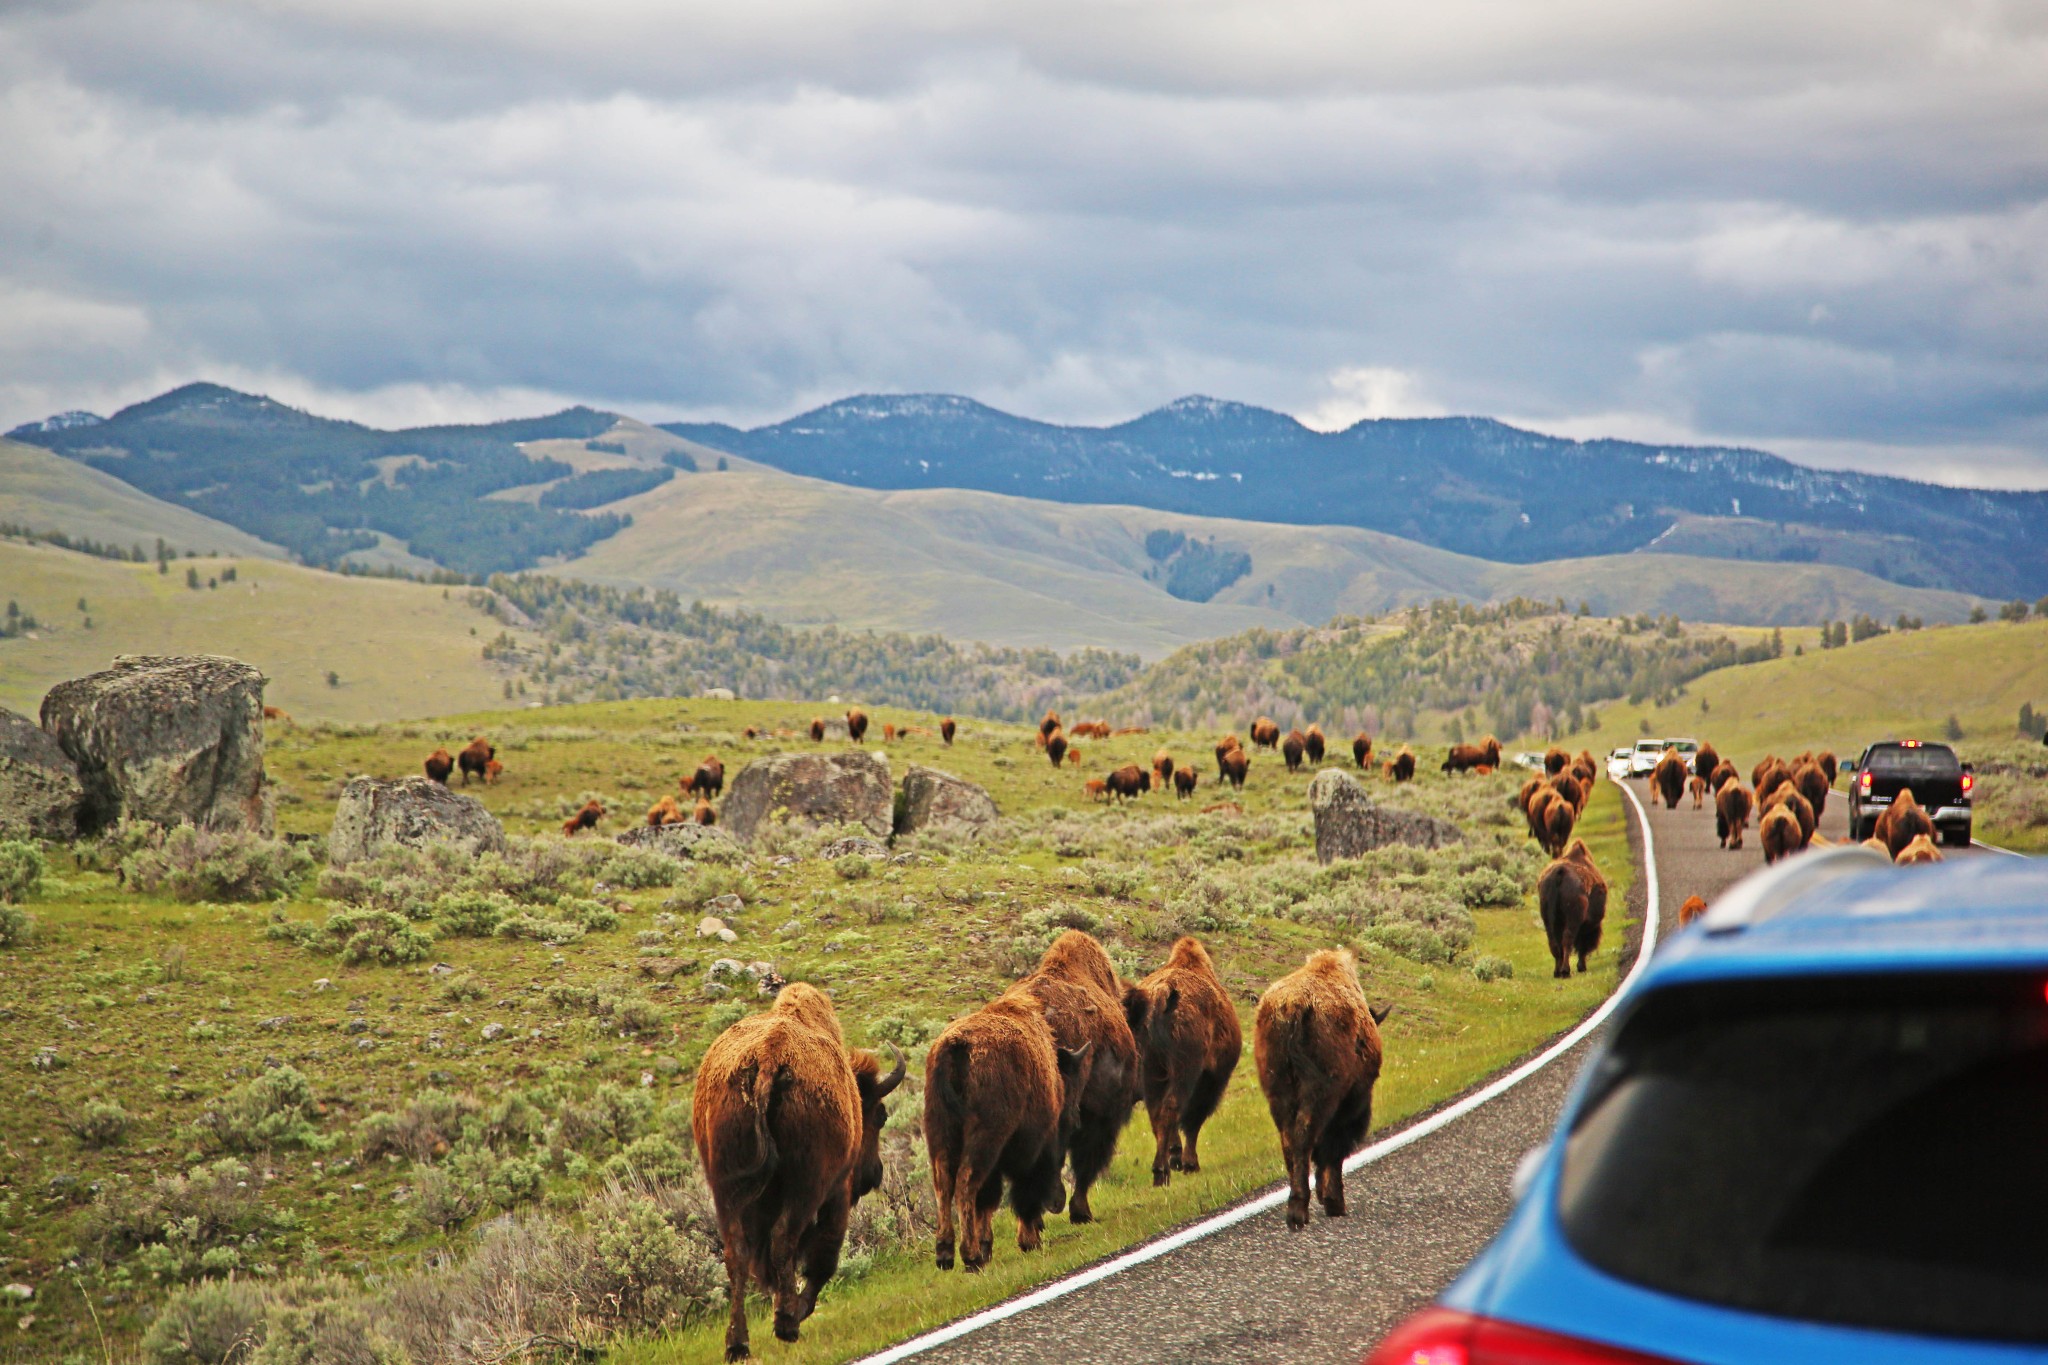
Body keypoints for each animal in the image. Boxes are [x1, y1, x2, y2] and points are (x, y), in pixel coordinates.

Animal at [696, 982, 905, 1358]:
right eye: (880, 1116)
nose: (873, 1174)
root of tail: (768, 1058)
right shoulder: (837, 1193)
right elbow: (825, 1256)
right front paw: (797, 1310)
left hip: (726, 1187)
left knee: (737, 1254)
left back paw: (738, 1344)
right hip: (808, 1187)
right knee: (786, 1242)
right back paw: (786, 1324)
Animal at [925, 994, 1089, 1268]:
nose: (1057, 1203)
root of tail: (955, 1046)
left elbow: (989, 1201)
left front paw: (988, 1246)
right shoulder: (1033, 1146)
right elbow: (1021, 1192)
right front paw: (1028, 1241)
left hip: (940, 1135)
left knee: (944, 1186)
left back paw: (946, 1254)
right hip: (986, 1139)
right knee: (966, 1184)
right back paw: (970, 1256)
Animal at [1130, 941, 1236, 1186]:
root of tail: (1163, 992)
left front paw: (1178, 1157)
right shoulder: (1210, 1079)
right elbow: (1193, 1120)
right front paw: (1189, 1164)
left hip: (1151, 1072)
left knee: (1158, 1112)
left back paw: (1162, 1169)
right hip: (1185, 1071)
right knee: (1174, 1109)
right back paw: (1163, 1171)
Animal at [1245, 957, 1392, 1236]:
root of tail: (1293, 1008)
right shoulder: (1350, 1106)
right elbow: (1332, 1150)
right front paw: (1333, 1201)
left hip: (1279, 1094)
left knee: (1290, 1142)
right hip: (1324, 1096)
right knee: (1310, 1139)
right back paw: (1306, 1211)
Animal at [1540, 843, 1613, 982]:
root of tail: (1560, 873)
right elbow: (1582, 945)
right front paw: (1581, 967)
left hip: (1548, 920)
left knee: (1554, 943)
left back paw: (1557, 972)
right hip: (1573, 920)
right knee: (1567, 940)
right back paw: (1565, 971)